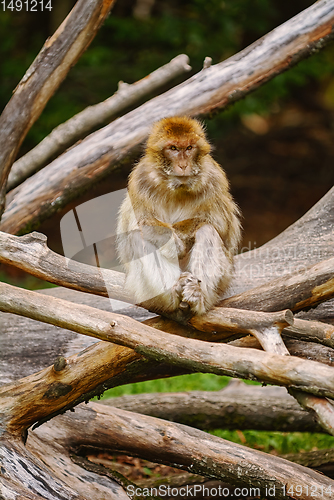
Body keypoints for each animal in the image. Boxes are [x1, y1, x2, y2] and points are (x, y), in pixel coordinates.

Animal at [116, 115, 241, 314]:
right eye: (173, 148)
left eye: (189, 148)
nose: (183, 165)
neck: (177, 187)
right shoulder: (140, 179)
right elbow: (140, 222)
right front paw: (174, 243)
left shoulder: (214, 177)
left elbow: (221, 225)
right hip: (140, 288)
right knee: (137, 236)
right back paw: (172, 294)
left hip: (223, 280)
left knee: (207, 230)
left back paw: (197, 295)